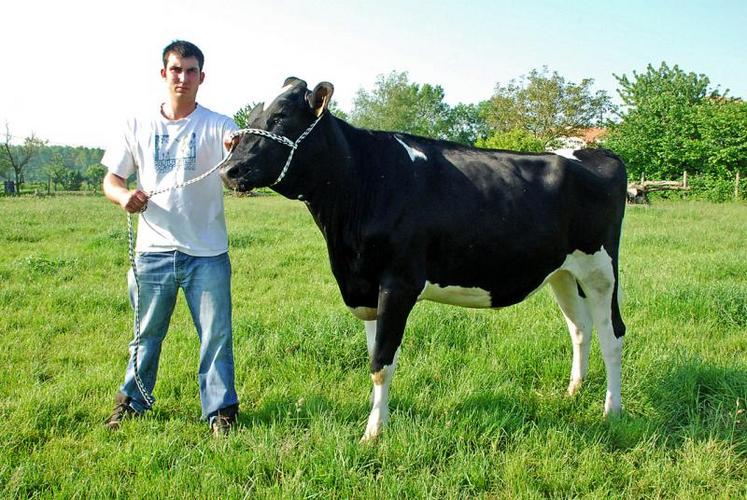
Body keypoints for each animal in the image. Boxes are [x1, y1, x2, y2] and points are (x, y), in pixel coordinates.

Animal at [219, 78, 628, 442]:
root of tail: (598, 153)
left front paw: (373, 434)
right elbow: (375, 357)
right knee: (580, 328)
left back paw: (611, 411)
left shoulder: (398, 283)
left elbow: (381, 362)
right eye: (254, 115)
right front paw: (379, 421)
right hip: (562, 272)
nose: (228, 169)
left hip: (601, 269)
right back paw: (574, 391)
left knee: (612, 334)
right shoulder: (364, 286)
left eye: (280, 117)